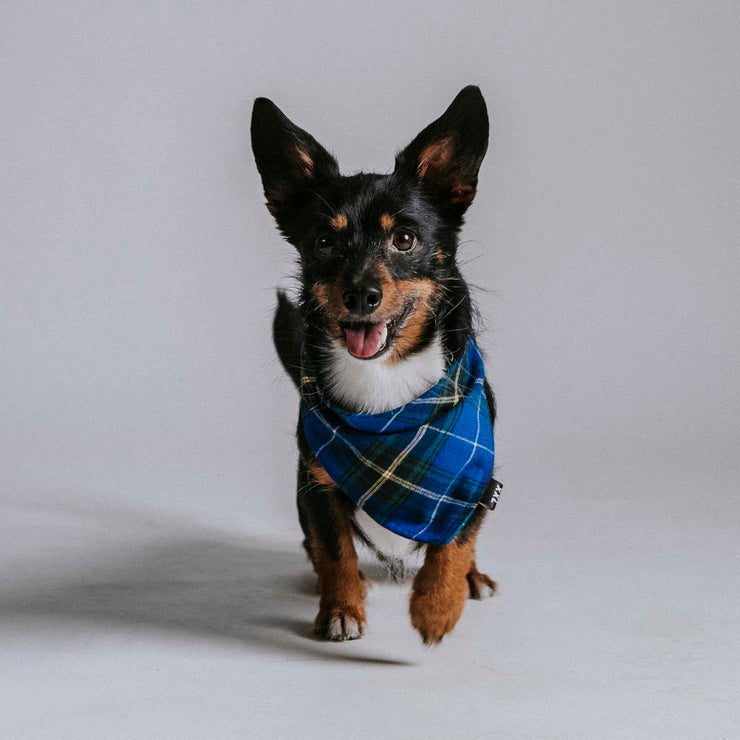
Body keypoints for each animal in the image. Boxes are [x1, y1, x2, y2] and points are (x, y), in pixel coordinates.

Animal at [251, 85, 500, 640]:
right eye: (324, 242)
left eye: (403, 239)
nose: (361, 295)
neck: (385, 388)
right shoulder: (317, 485)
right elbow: (336, 551)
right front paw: (342, 608)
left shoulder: (474, 480)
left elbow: (456, 542)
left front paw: (438, 605)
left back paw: (472, 580)